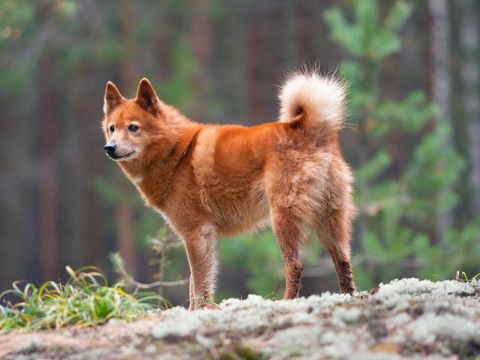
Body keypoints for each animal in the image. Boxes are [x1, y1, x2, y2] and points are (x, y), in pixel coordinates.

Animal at [102, 72, 356, 310]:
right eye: (112, 128)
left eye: (133, 128)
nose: (109, 147)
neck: (176, 152)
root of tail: (308, 129)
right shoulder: (202, 237)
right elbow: (195, 283)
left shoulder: (197, 233)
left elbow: (199, 285)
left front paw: (198, 311)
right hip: (329, 220)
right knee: (343, 261)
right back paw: (348, 296)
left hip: (283, 220)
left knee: (295, 266)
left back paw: (286, 301)